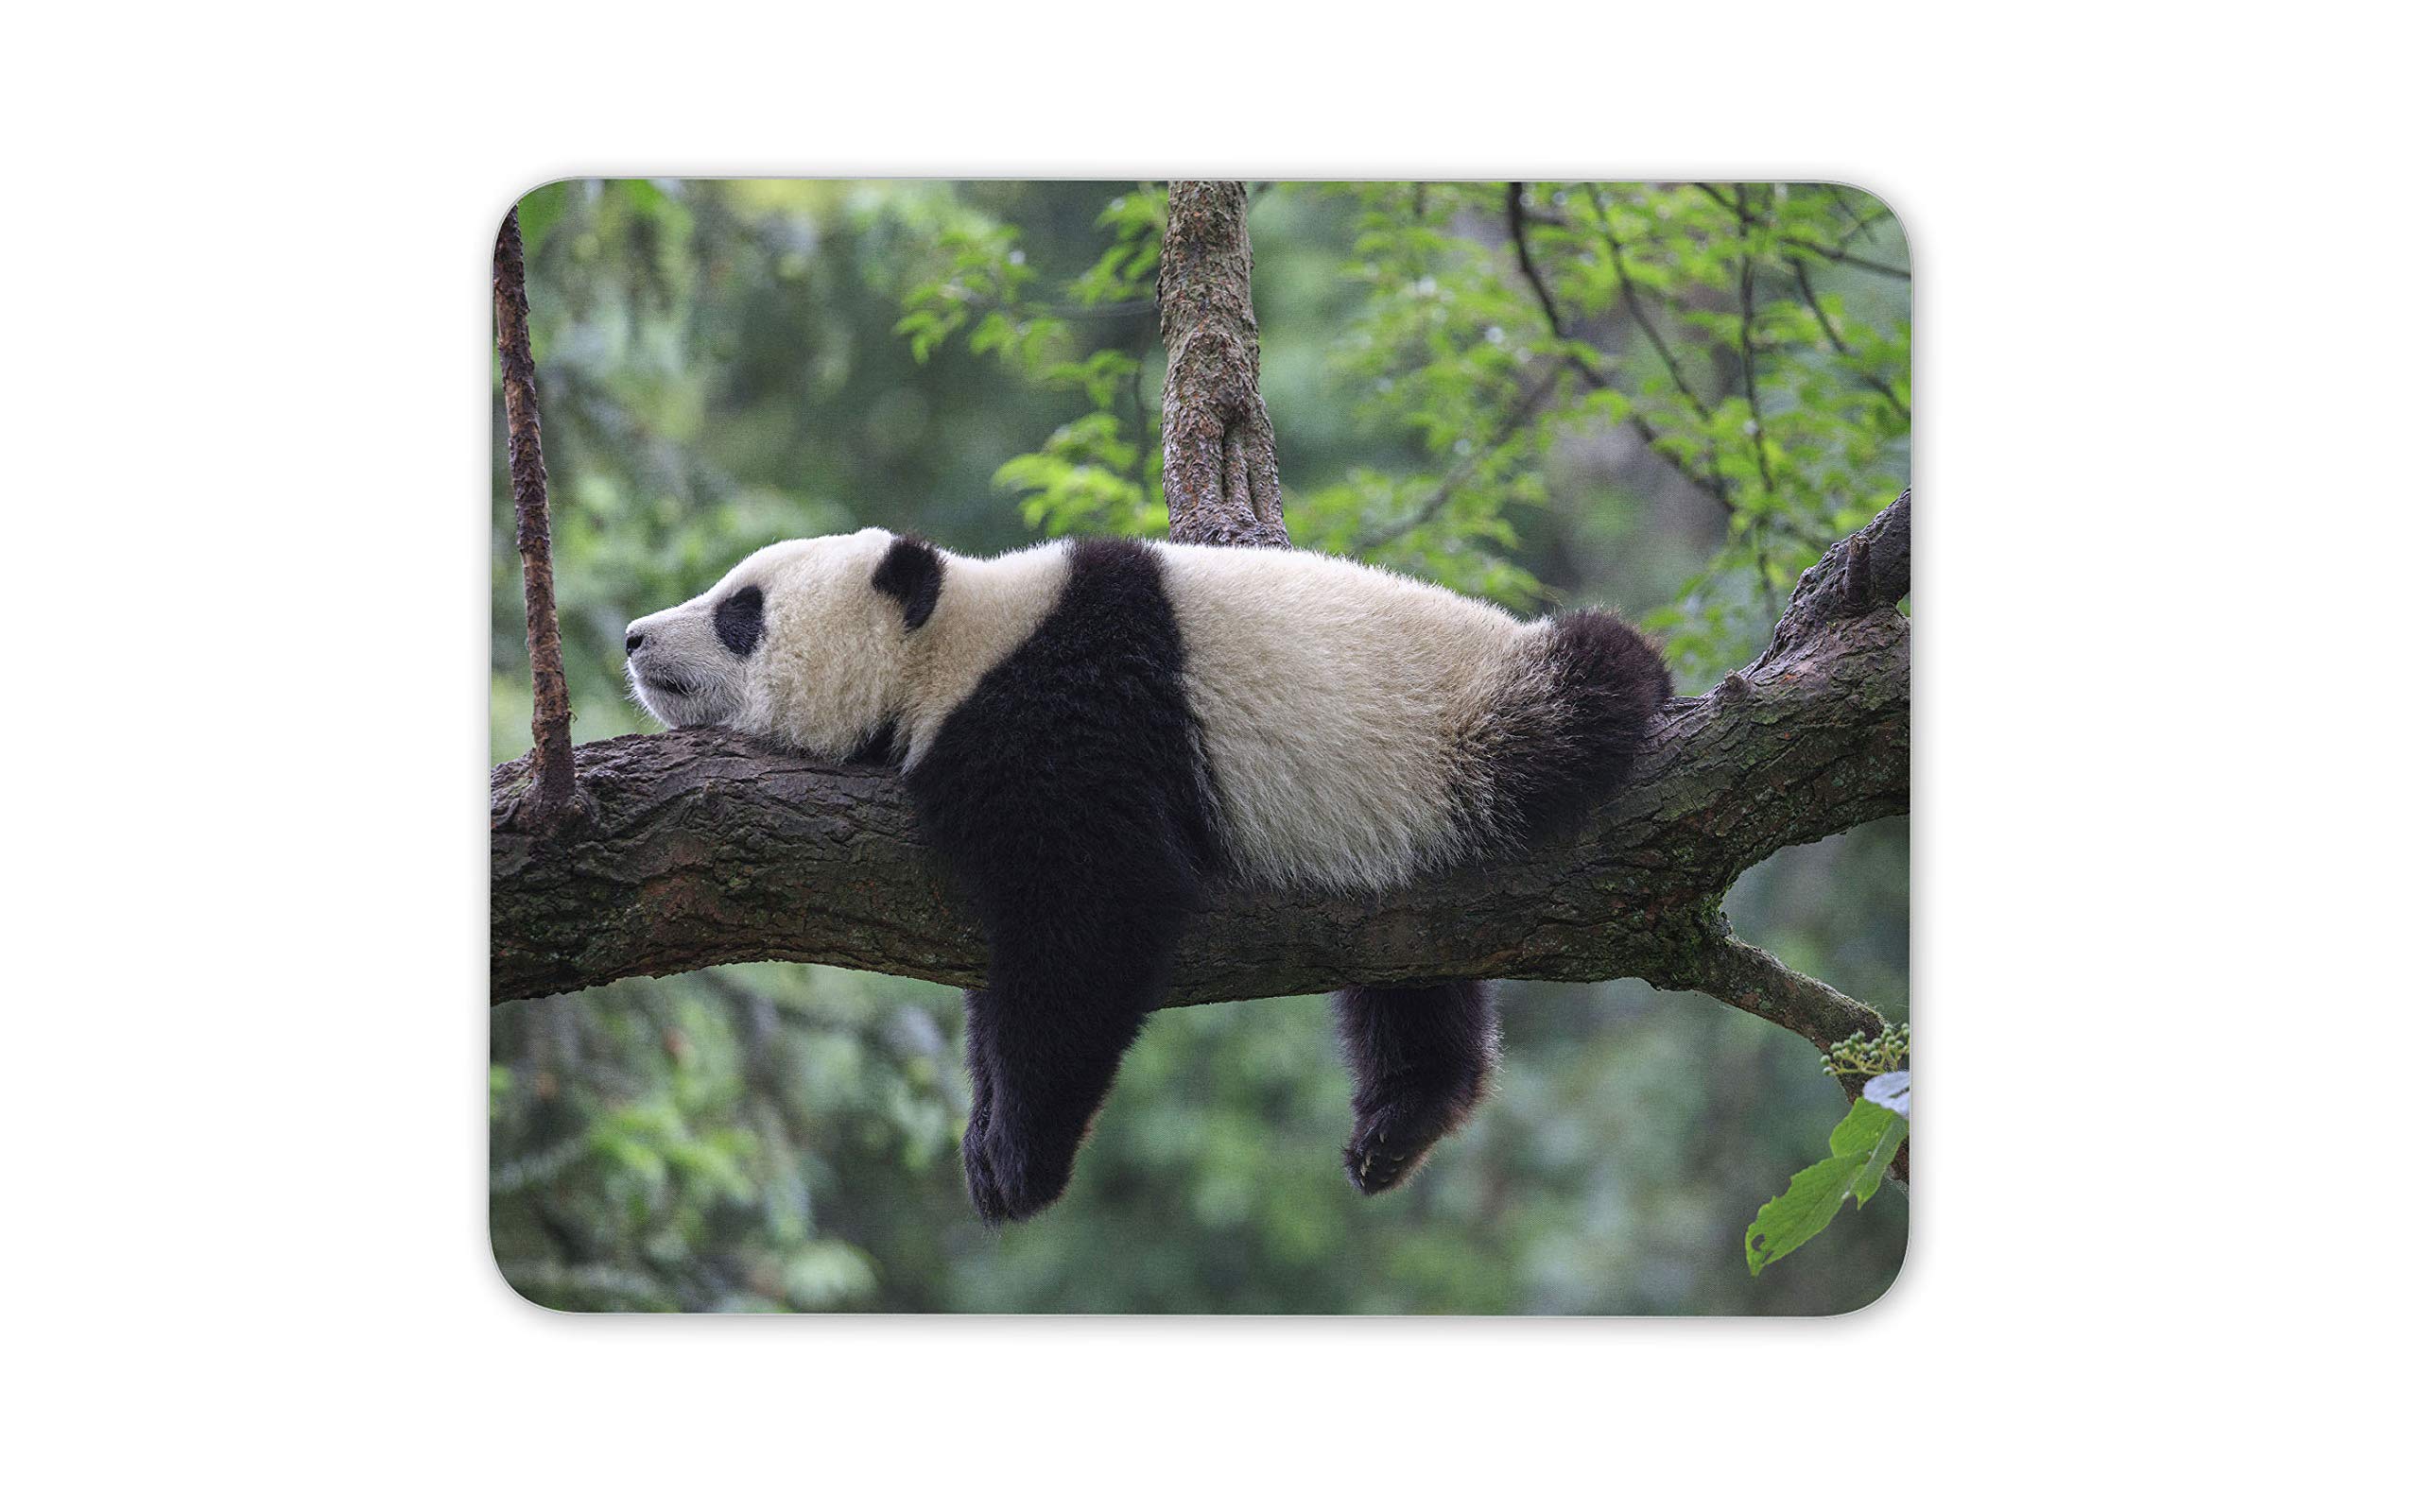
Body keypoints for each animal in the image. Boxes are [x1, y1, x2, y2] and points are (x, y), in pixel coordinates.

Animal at [623, 527, 1671, 1224]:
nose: (634, 637)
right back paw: (1402, 1117)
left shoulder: (1072, 716)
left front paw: (1019, 1159)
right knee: (1409, 972)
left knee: (1585, 686)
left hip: (1468, 726)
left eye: (740, 611)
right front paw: (985, 1133)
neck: (957, 642)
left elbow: (1091, 919)